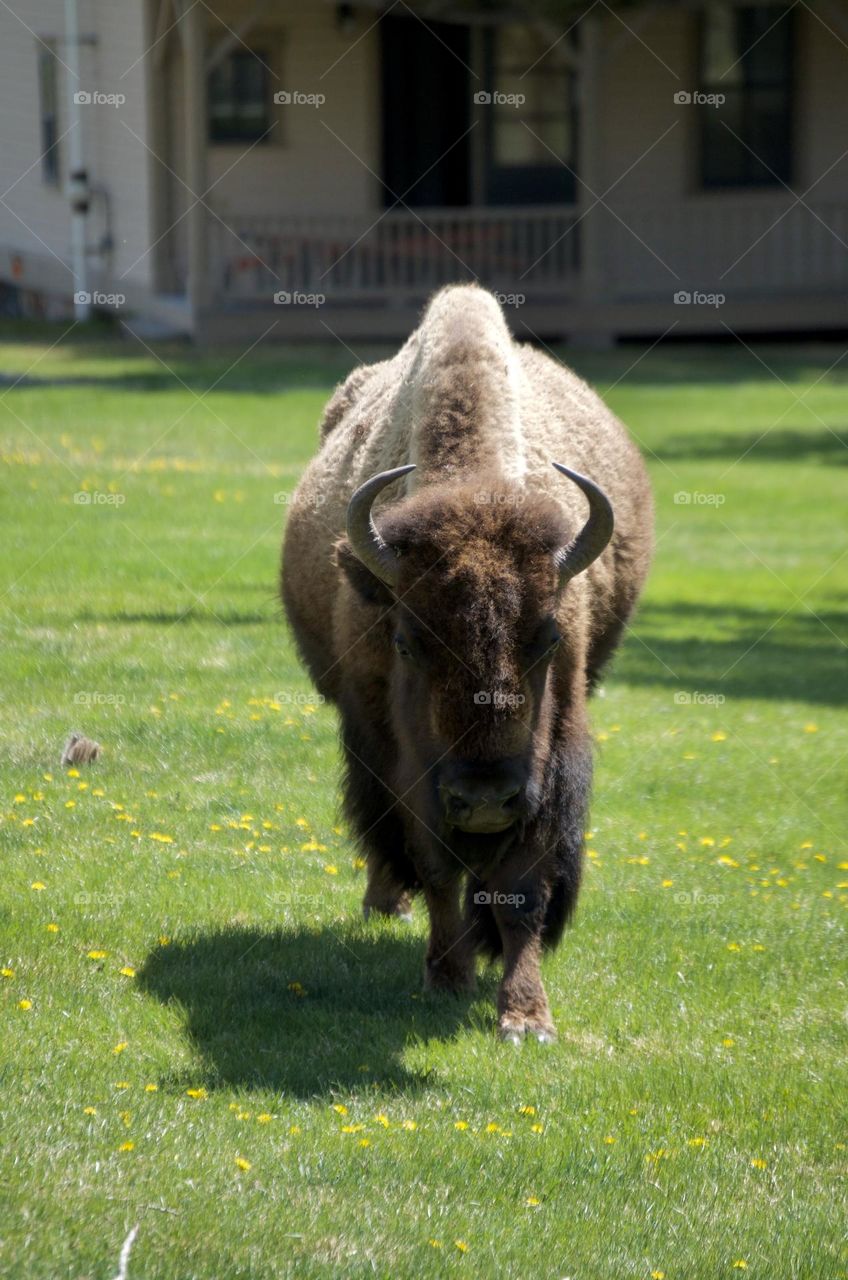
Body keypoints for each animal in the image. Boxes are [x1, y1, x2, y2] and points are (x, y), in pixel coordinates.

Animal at [282, 284, 653, 1042]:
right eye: (407, 641)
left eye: (549, 638)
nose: (483, 800)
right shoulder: (407, 760)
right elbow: (434, 862)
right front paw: (447, 975)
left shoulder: (549, 757)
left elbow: (524, 883)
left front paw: (526, 1016)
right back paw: (385, 904)